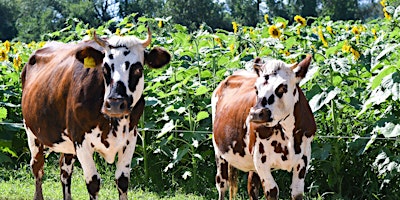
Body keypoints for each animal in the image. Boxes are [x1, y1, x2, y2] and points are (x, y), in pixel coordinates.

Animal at [21, 28, 170, 200]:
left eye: (138, 69)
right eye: (105, 68)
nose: (115, 103)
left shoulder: (130, 139)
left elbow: (122, 181)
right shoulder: (80, 139)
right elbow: (93, 183)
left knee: (64, 171)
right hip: (32, 134)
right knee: (37, 168)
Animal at [211, 55, 318, 200]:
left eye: (282, 87)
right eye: (256, 89)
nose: (256, 113)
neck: (288, 133)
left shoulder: (303, 158)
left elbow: (297, 193)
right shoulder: (261, 160)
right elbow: (272, 192)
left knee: (252, 187)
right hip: (220, 154)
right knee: (222, 184)